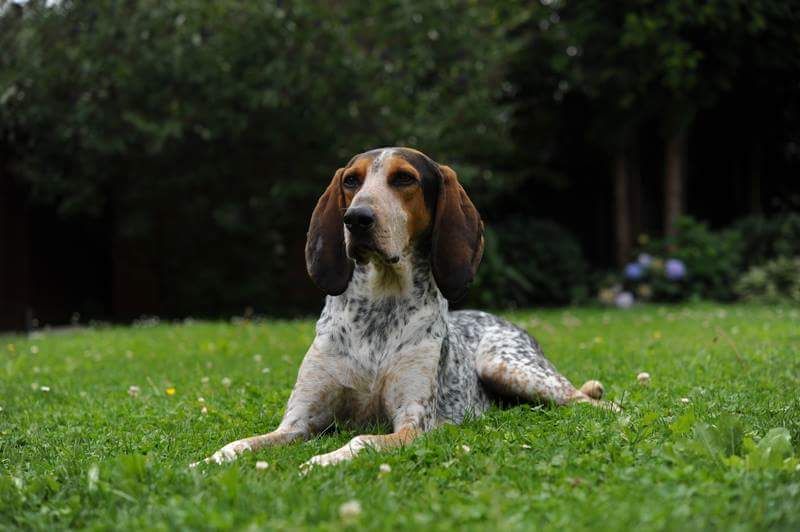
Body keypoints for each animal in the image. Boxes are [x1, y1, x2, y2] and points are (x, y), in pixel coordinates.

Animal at [192, 148, 612, 468]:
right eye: (351, 181)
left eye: (404, 179)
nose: (356, 218)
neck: (381, 305)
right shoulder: (298, 422)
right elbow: (239, 445)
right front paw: (204, 463)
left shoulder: (412, 423)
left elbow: (361, 440)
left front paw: (324, 459)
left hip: (509, 366)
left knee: (590, 400)